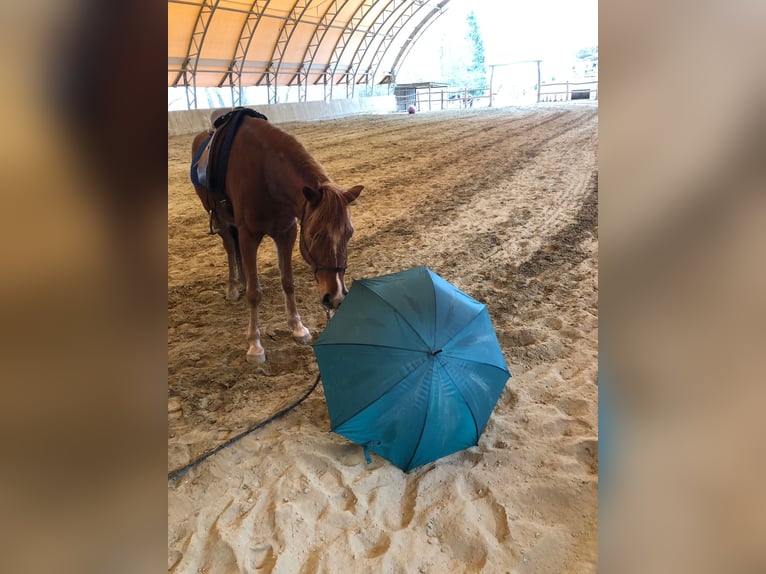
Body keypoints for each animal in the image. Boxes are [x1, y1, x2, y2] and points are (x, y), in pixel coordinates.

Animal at [190, 113, 362, 364]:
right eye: (314, 234)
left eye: (349, 233)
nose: (337, 297)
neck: (266, 173)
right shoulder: (249, 235)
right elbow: (254, 294)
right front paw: (255, 345)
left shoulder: (286, 233)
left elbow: (288, 282)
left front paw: (298, 327)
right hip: (221, 222)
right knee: (231, 249)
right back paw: (233, 288)